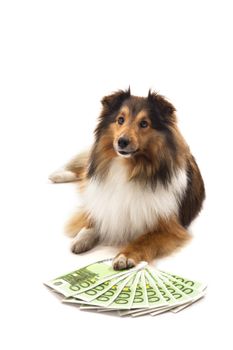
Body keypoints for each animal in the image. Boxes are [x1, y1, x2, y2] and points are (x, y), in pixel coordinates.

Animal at [48, 89, 204, 270]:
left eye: (144, 123)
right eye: (120, 120)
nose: (121, 142)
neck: (129, 168)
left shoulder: (170, 227)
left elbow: (144, 240)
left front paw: (125, 256)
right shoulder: (104, 202)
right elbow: (94, 218)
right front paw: (82, 237)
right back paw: (58, 175)